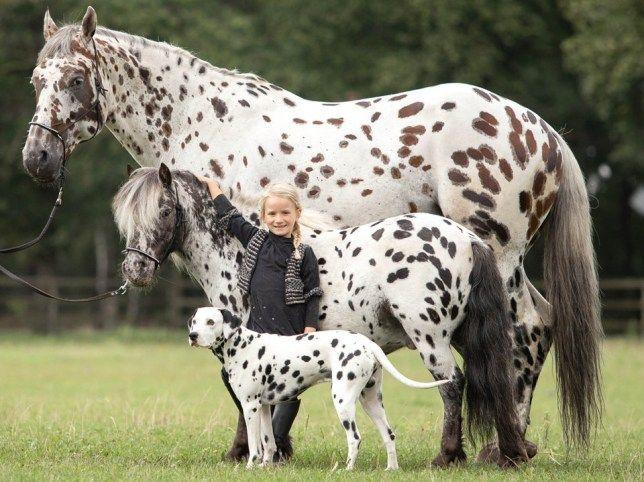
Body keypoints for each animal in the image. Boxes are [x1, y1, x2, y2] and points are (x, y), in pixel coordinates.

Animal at [186, 306, 448, 468]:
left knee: (355, 437)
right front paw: (264, 467)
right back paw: (391, 469)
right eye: (195, 321)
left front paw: (251, 466)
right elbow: (268, 442)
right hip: (371, 402)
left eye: (211, 321)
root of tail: (366, 343)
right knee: (389, 435)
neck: (241, 345)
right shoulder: (264, 407)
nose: (193, 335)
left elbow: (254, 445)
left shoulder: (250, 407)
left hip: (343, 401)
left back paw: (347, 469)